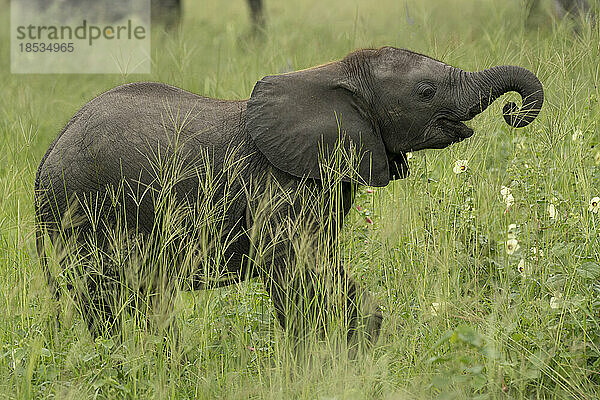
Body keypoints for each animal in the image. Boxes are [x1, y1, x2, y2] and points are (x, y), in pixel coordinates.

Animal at [36, 47, 544, 346]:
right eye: (425, 91)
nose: (513, 110)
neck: (334, 75)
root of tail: (45, 159)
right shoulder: (279, 184)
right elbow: (293, 265)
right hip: (80, 214)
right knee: (106, 300)